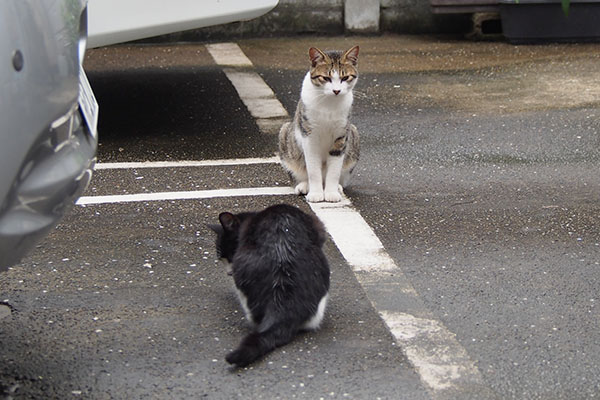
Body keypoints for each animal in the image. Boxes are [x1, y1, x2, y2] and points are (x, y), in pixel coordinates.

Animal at [278, 46, 358, 203]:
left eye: (345, 78)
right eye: (326, 78)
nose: (336, 91)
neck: (329, 103)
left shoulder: (341, 135)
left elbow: (334, 170)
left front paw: (331, 193)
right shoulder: (309, 134)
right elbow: (313, 169)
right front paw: (315, 194)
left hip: (354, 135)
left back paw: (337, 187)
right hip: (285, 134)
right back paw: (304, 186)